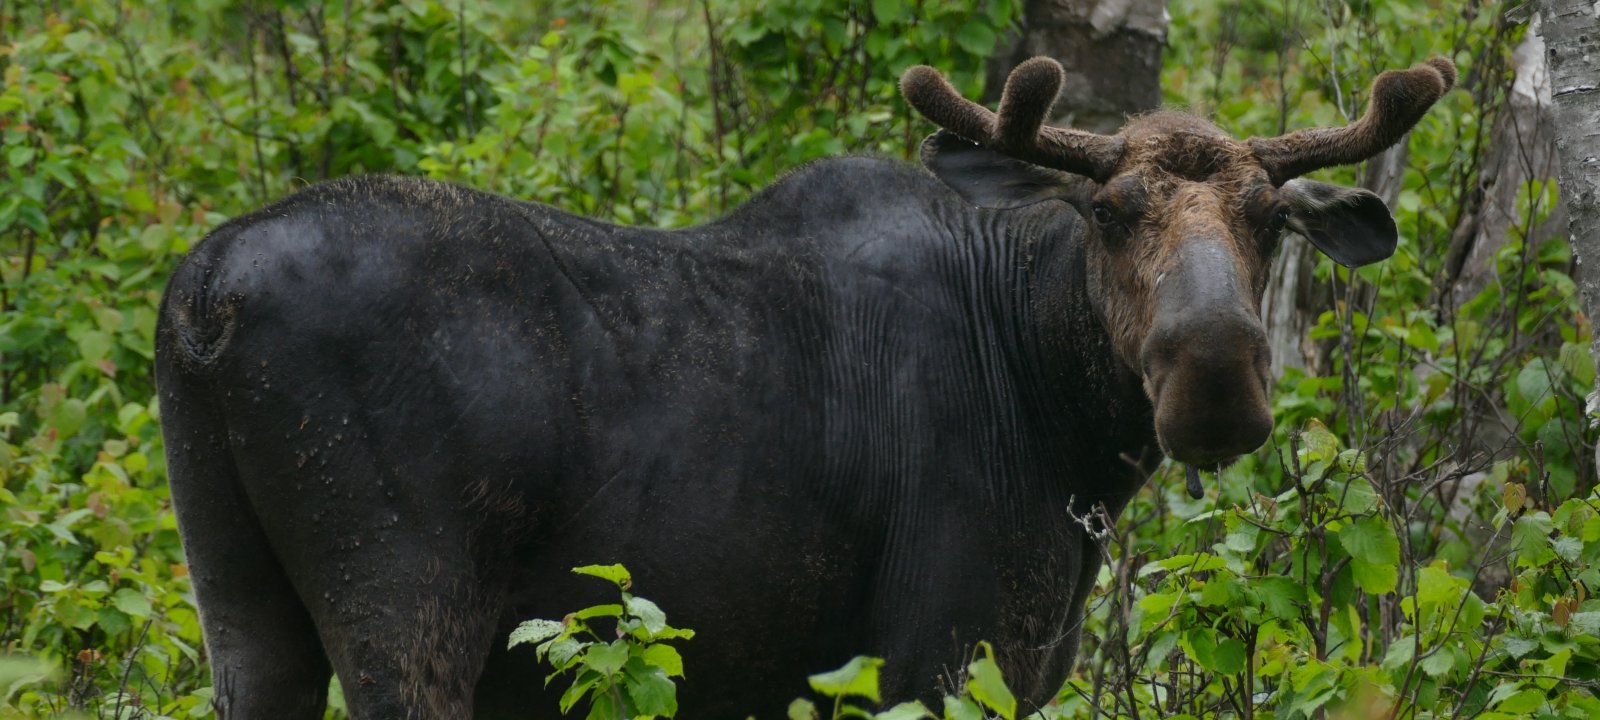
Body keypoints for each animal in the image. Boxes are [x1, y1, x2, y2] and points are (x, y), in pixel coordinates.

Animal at [159, 53, 1452, 716]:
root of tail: (202, 301)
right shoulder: (941, 644)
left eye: (1269, 219)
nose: (1215, 377)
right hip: (407, 606)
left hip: (240, 605)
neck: (1065, 425)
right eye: (1106, 212)